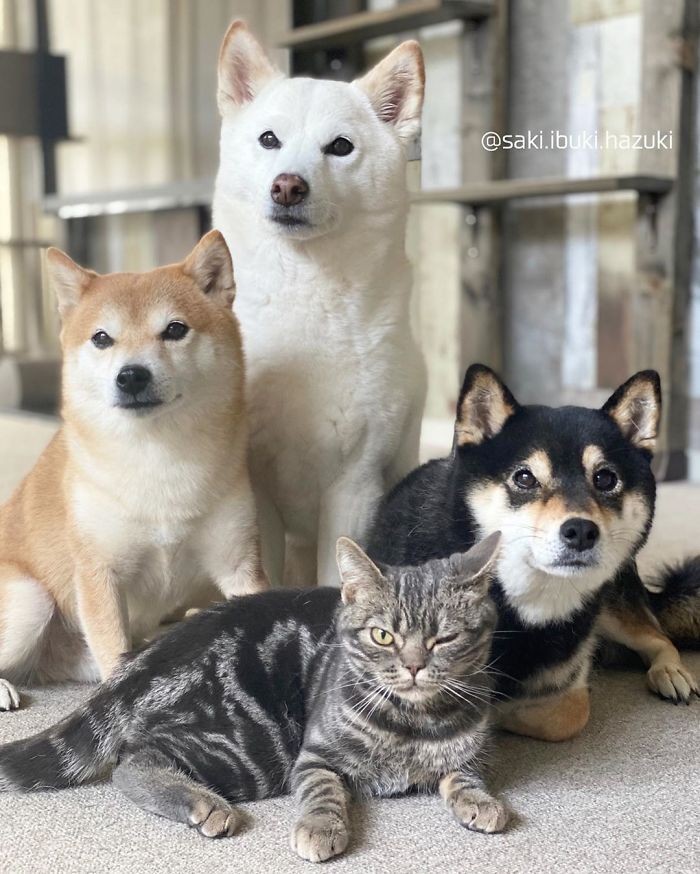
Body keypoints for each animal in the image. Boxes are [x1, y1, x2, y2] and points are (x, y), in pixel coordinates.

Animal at [0, 532, 506, 860]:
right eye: (382, 635)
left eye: (445, 638)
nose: (415, 666)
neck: (411, 721)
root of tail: (139, 662)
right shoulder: (313, 755)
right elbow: (323, 792)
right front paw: (319, 828)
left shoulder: (470, 752)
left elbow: (465, 775)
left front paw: (481, 802)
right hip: (257, 746)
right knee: (133, 762)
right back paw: (203, 803)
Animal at [212, 20, 426, 584]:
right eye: (269, 139)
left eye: (340, 147)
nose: (288, 186)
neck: (306, 292)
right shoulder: (256, 489)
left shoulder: (354, 485)